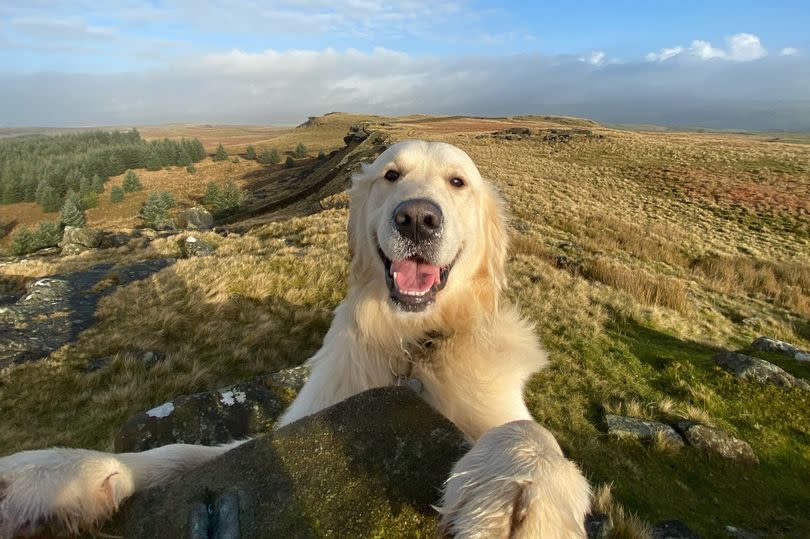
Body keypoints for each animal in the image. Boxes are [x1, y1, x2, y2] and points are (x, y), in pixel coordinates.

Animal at [0, 141, 588, 536]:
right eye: (391, 174)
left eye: (458, 182)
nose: (417, 218)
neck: (408, 345)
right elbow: (183, 452)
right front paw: (57, 473)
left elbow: (530, 431)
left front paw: (522, 493)